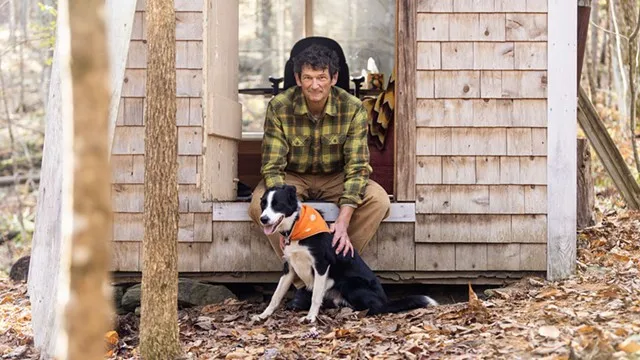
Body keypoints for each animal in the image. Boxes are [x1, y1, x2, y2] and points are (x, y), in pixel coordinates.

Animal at [250, 186, 436, 324]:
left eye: (277, 204)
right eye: (263, 204)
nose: (263, 219)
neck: (297, 227)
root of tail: (385, 300)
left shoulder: (321, 266)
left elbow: (315, 296)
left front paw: (310, 318)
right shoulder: (289, 267)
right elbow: (276, 295)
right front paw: (263, 315)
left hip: (350, 283)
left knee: (375, 309)